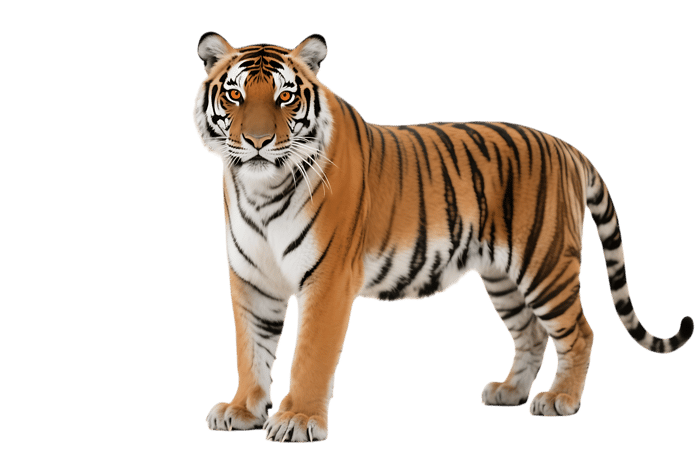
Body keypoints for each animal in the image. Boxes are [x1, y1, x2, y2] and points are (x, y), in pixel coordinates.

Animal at [192, 32, 694, 443]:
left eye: (285, 97)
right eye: (235, 95)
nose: (257, 142)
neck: (260, 190)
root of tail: (566, 147)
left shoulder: (328, 279)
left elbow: (310, 355)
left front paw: (297, 419)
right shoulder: (252, 278)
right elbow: (251, 347)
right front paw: (243, 409)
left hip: (545, 264)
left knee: (580, 332)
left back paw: (560, 400)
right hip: (502, 277)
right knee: (531, 333)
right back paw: (510, 390)